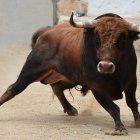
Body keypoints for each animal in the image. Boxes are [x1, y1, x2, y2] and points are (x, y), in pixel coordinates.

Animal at [0, 12, 140, 135]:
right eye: (97, 37)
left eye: (122, 37)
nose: (105, 66)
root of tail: (45, 32)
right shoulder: (97, 87)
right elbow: (114, 108)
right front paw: (120, 128)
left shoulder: (132, 82)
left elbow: (132, 103)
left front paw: (137, 122)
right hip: (31, 70)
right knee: (13, 88)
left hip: (71, 77)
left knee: (56, 87)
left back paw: (69, 108)